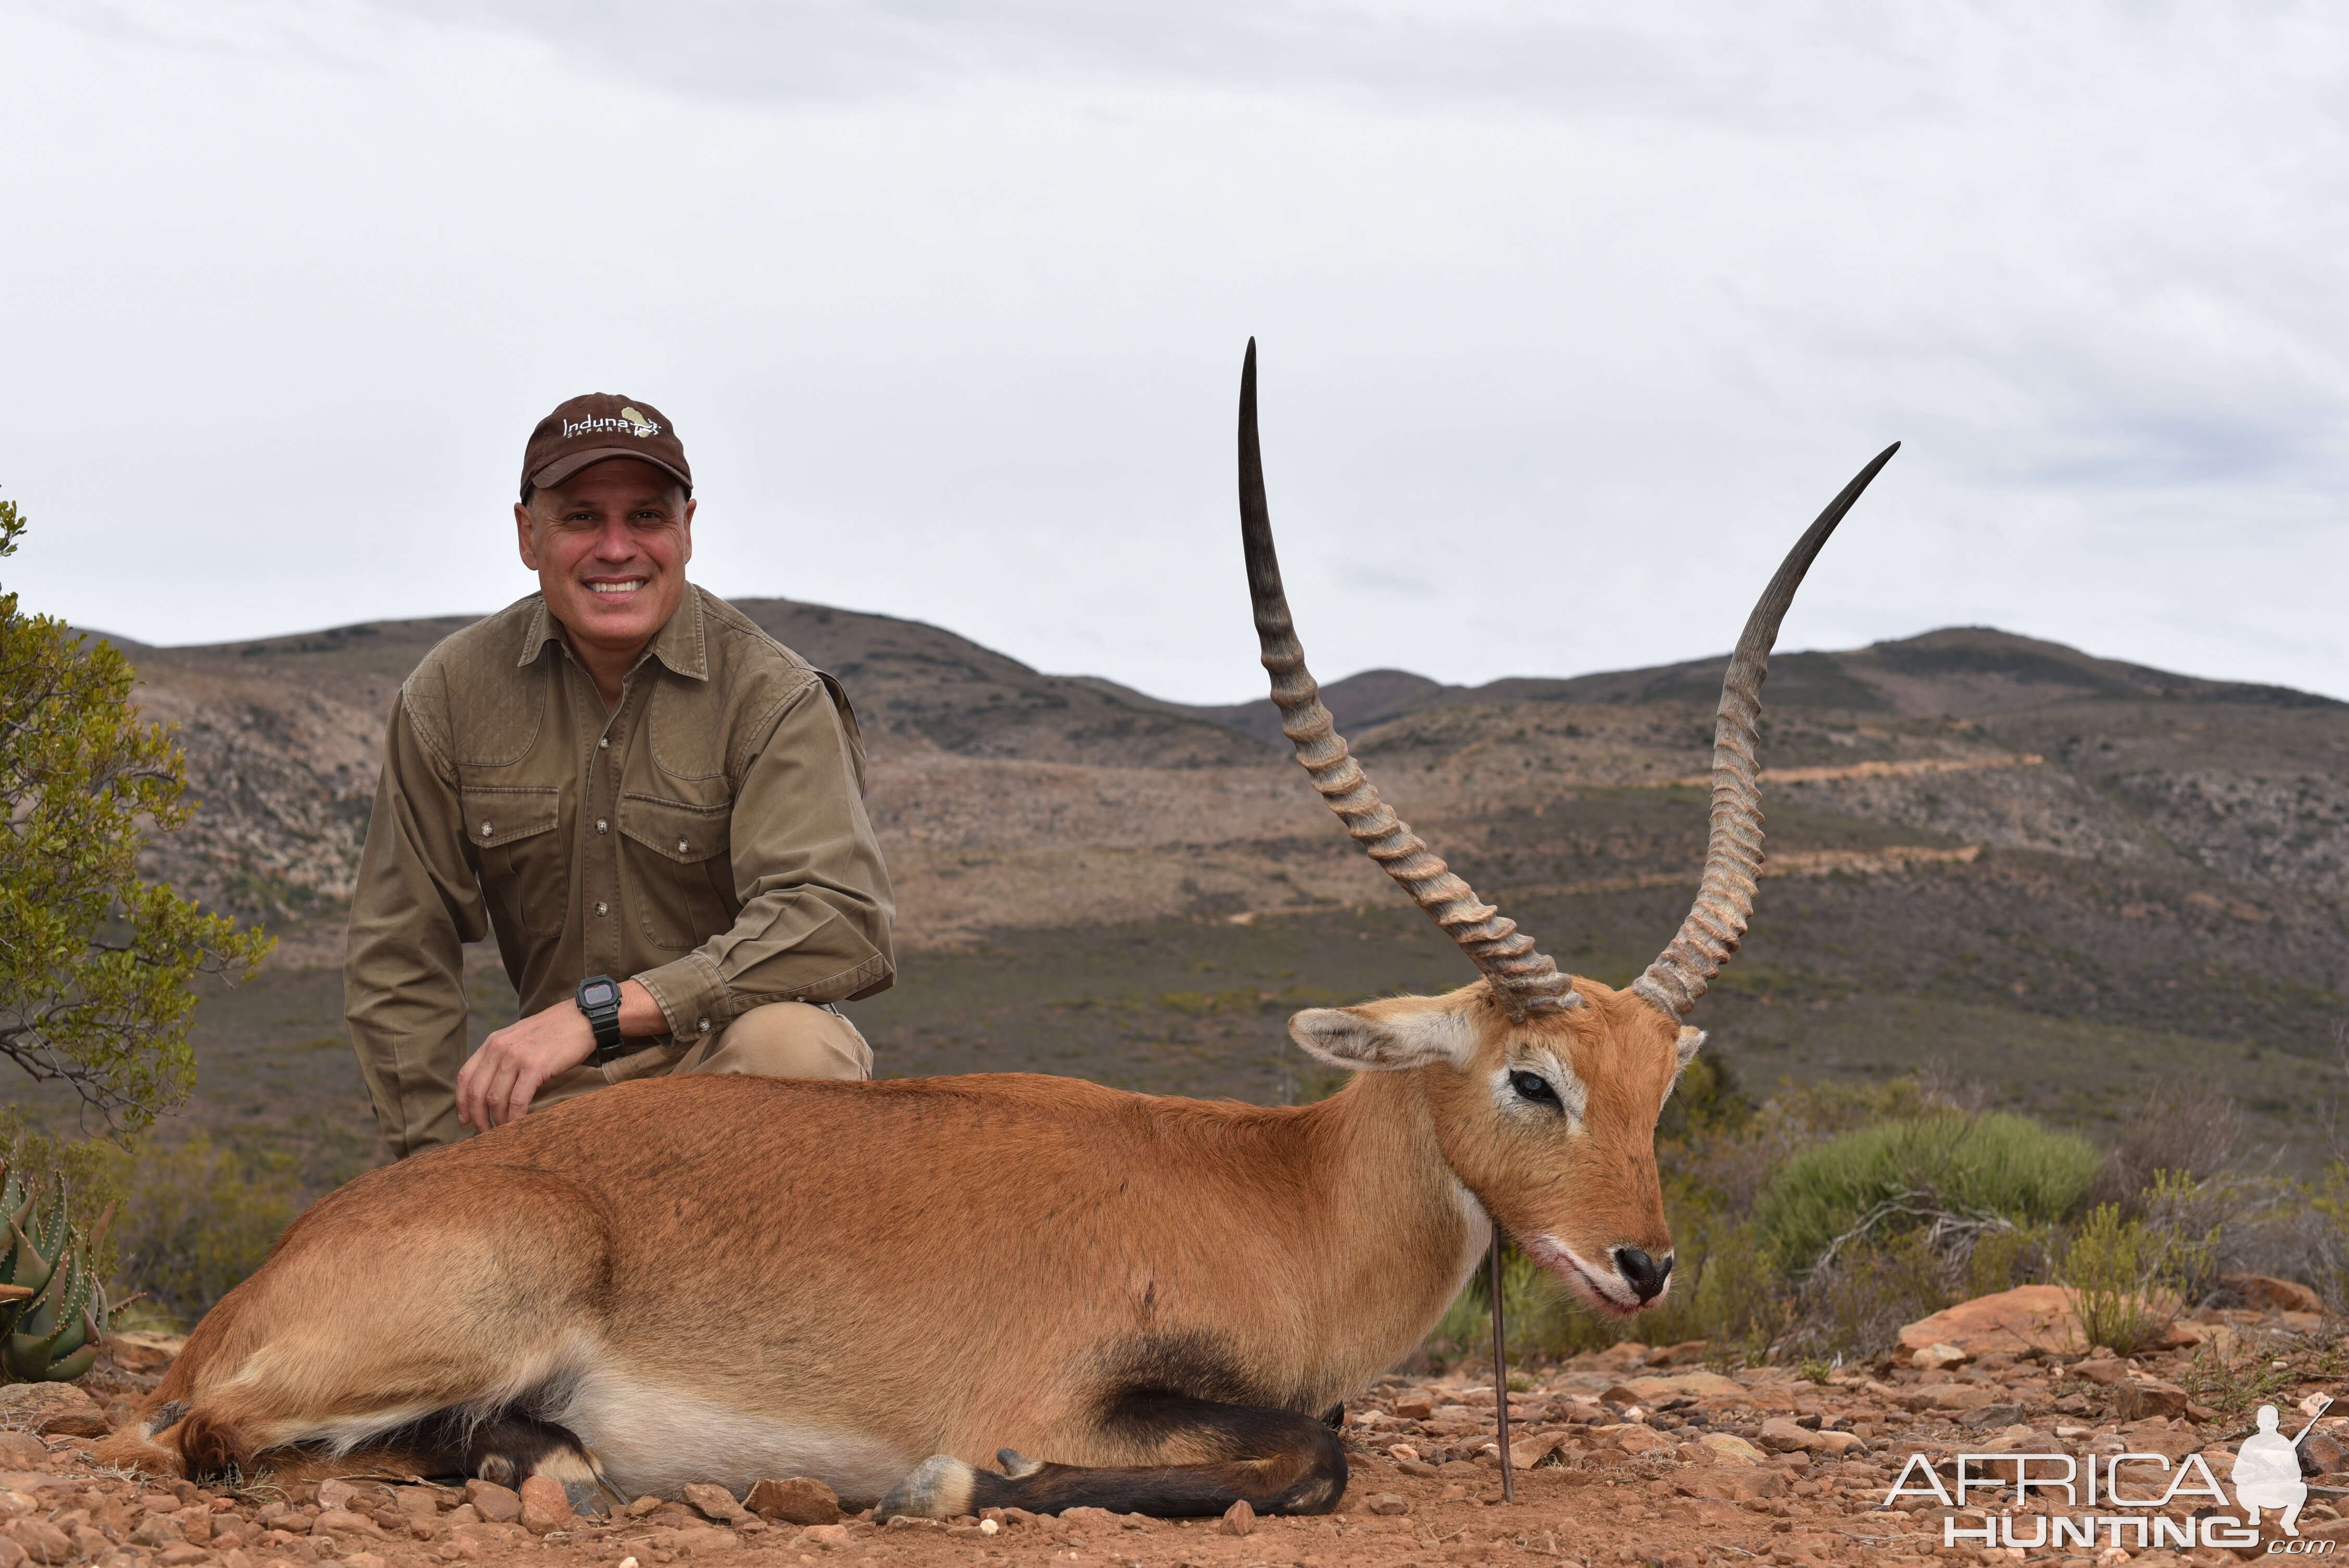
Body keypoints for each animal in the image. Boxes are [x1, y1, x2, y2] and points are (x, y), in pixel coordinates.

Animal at [101, 343, 1898, 1521]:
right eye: (1533, 1075)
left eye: (1662, 1083)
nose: (1641, 1262)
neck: (1281, 1192)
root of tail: (261, 1283)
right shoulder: (1083, 1393)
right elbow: (1300, 1451)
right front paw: (952, 1481)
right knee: (210, 1437)